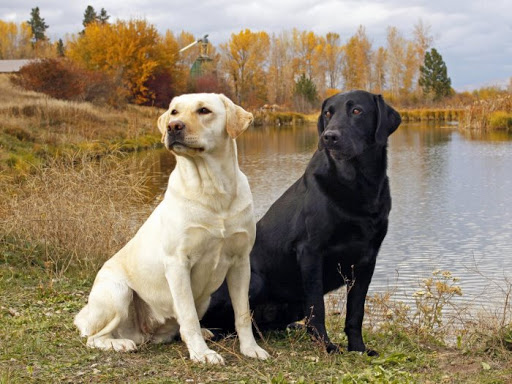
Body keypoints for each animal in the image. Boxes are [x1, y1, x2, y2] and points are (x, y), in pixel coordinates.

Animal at [75, 93, 270, 364]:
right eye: (174, 111)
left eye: (204, 110)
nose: (173, 126)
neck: (212, 189)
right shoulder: (178, 264)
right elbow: (188, 316)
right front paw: (202, 354)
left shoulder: (241, 262)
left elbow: (242, 314)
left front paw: (251, 348)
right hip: (117, 292)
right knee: (94, 337)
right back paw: (119, 343)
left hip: (204, 298)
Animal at [202, 89, 402, 354]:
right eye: (328, 113)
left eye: (357, 110)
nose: (329, 137)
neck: (357, 184)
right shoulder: (310, 251)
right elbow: (318, 308)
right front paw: (327, 346)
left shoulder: (368, 259)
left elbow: (356, 311)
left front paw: (358, 347)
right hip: (253, 281)